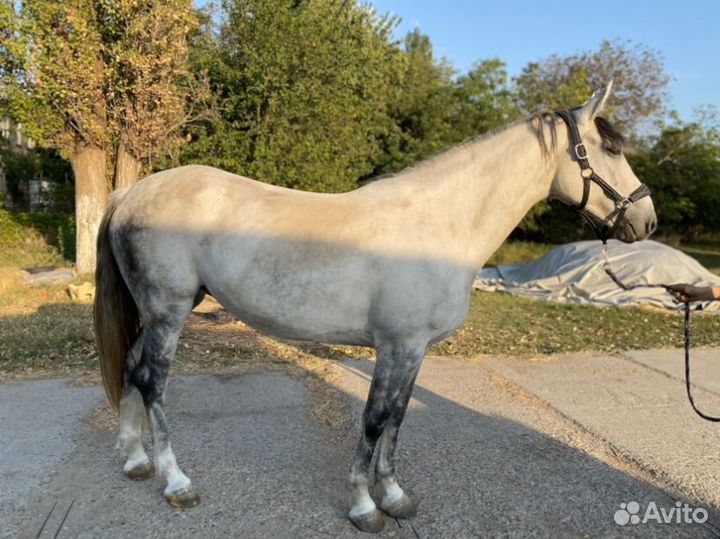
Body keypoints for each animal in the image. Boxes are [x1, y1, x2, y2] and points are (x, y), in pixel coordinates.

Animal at [94, 81, 657, 533]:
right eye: (609, 148)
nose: (647, 220)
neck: (439, 225)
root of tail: (130, 193)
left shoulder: (414, 351)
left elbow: (398, 419)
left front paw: (395, 497)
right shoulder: (396, 346)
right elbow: (374, 419)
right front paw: (365, 507)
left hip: (159, 314)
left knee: (130, 368)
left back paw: (135, 461)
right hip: (170, 314)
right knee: (152, 382)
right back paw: (175, 481)